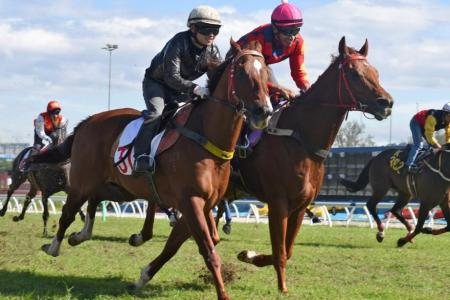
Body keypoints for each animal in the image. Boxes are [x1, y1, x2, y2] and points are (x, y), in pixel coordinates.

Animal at [30, 40, 274, 300]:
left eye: (266, 73)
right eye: (242, 72)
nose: (264, 112)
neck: (206, 138)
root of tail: (87, 121)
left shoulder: (202, 203)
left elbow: (175, 245)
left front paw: (143, 276)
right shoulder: (190, 201)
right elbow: (208, 249)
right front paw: (223, 293)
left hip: (120, 187)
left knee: (95, 199)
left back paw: (80, 235)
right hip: (82, 182)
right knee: (68, 212)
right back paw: (53, 246)